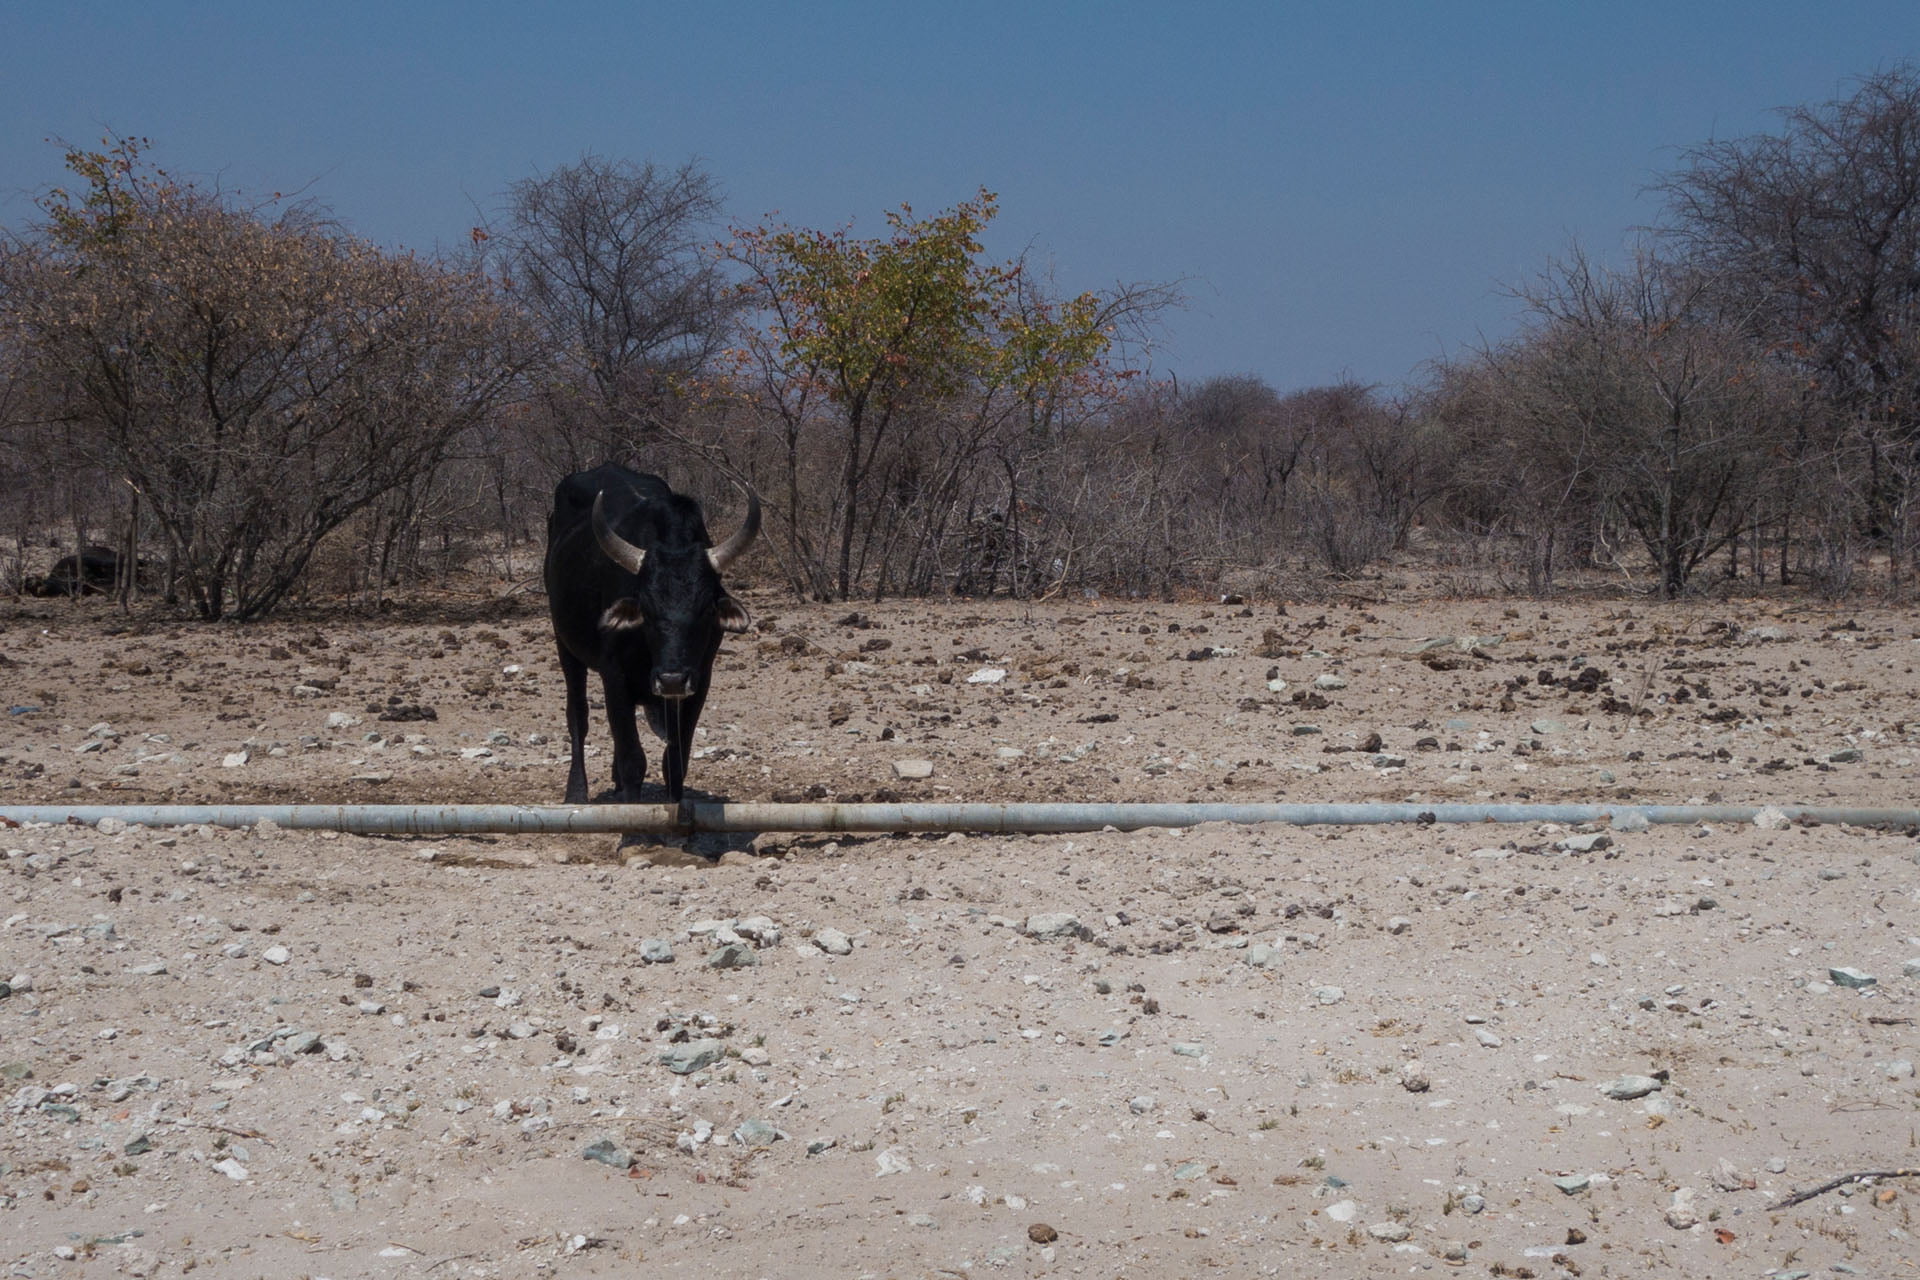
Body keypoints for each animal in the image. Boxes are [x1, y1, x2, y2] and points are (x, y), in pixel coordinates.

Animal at [543, 464, 759, 804]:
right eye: (646, 606)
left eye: (706, 608)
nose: (671, 679)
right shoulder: (614, 676)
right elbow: (633, 758)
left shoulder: (699, 680)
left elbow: (675, 759)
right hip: (565, 644)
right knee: (578, 715)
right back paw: (576, 792)